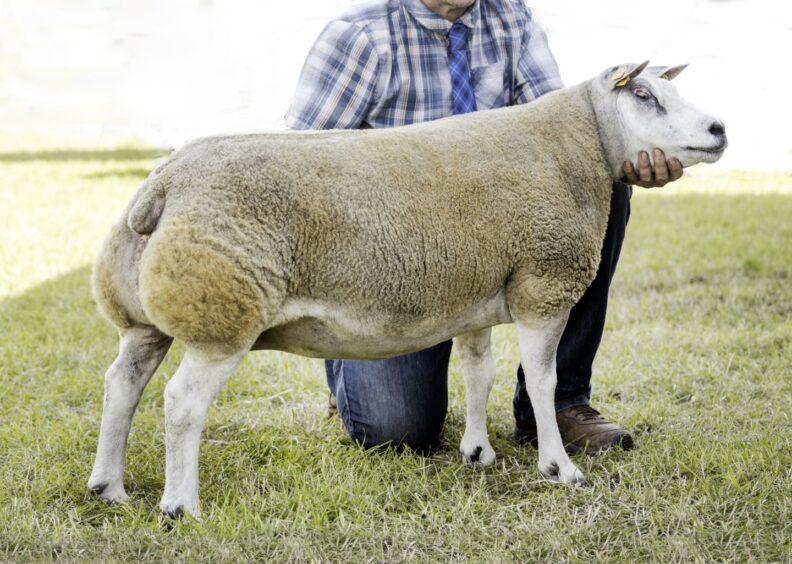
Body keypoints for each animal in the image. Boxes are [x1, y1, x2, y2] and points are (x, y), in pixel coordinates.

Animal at [86, 62, 724, 520]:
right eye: (643, 95)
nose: (719, 128)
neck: (578, 145)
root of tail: (163, 185)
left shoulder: (476, 292)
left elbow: (478, 372)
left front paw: (477, 452)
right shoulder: (542, 284)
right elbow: (541, 383)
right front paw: (558, 468)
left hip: (145, 319)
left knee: (122, 386)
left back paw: (109, 486)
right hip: (221, 311)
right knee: (181, 403)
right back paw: (180, 506)